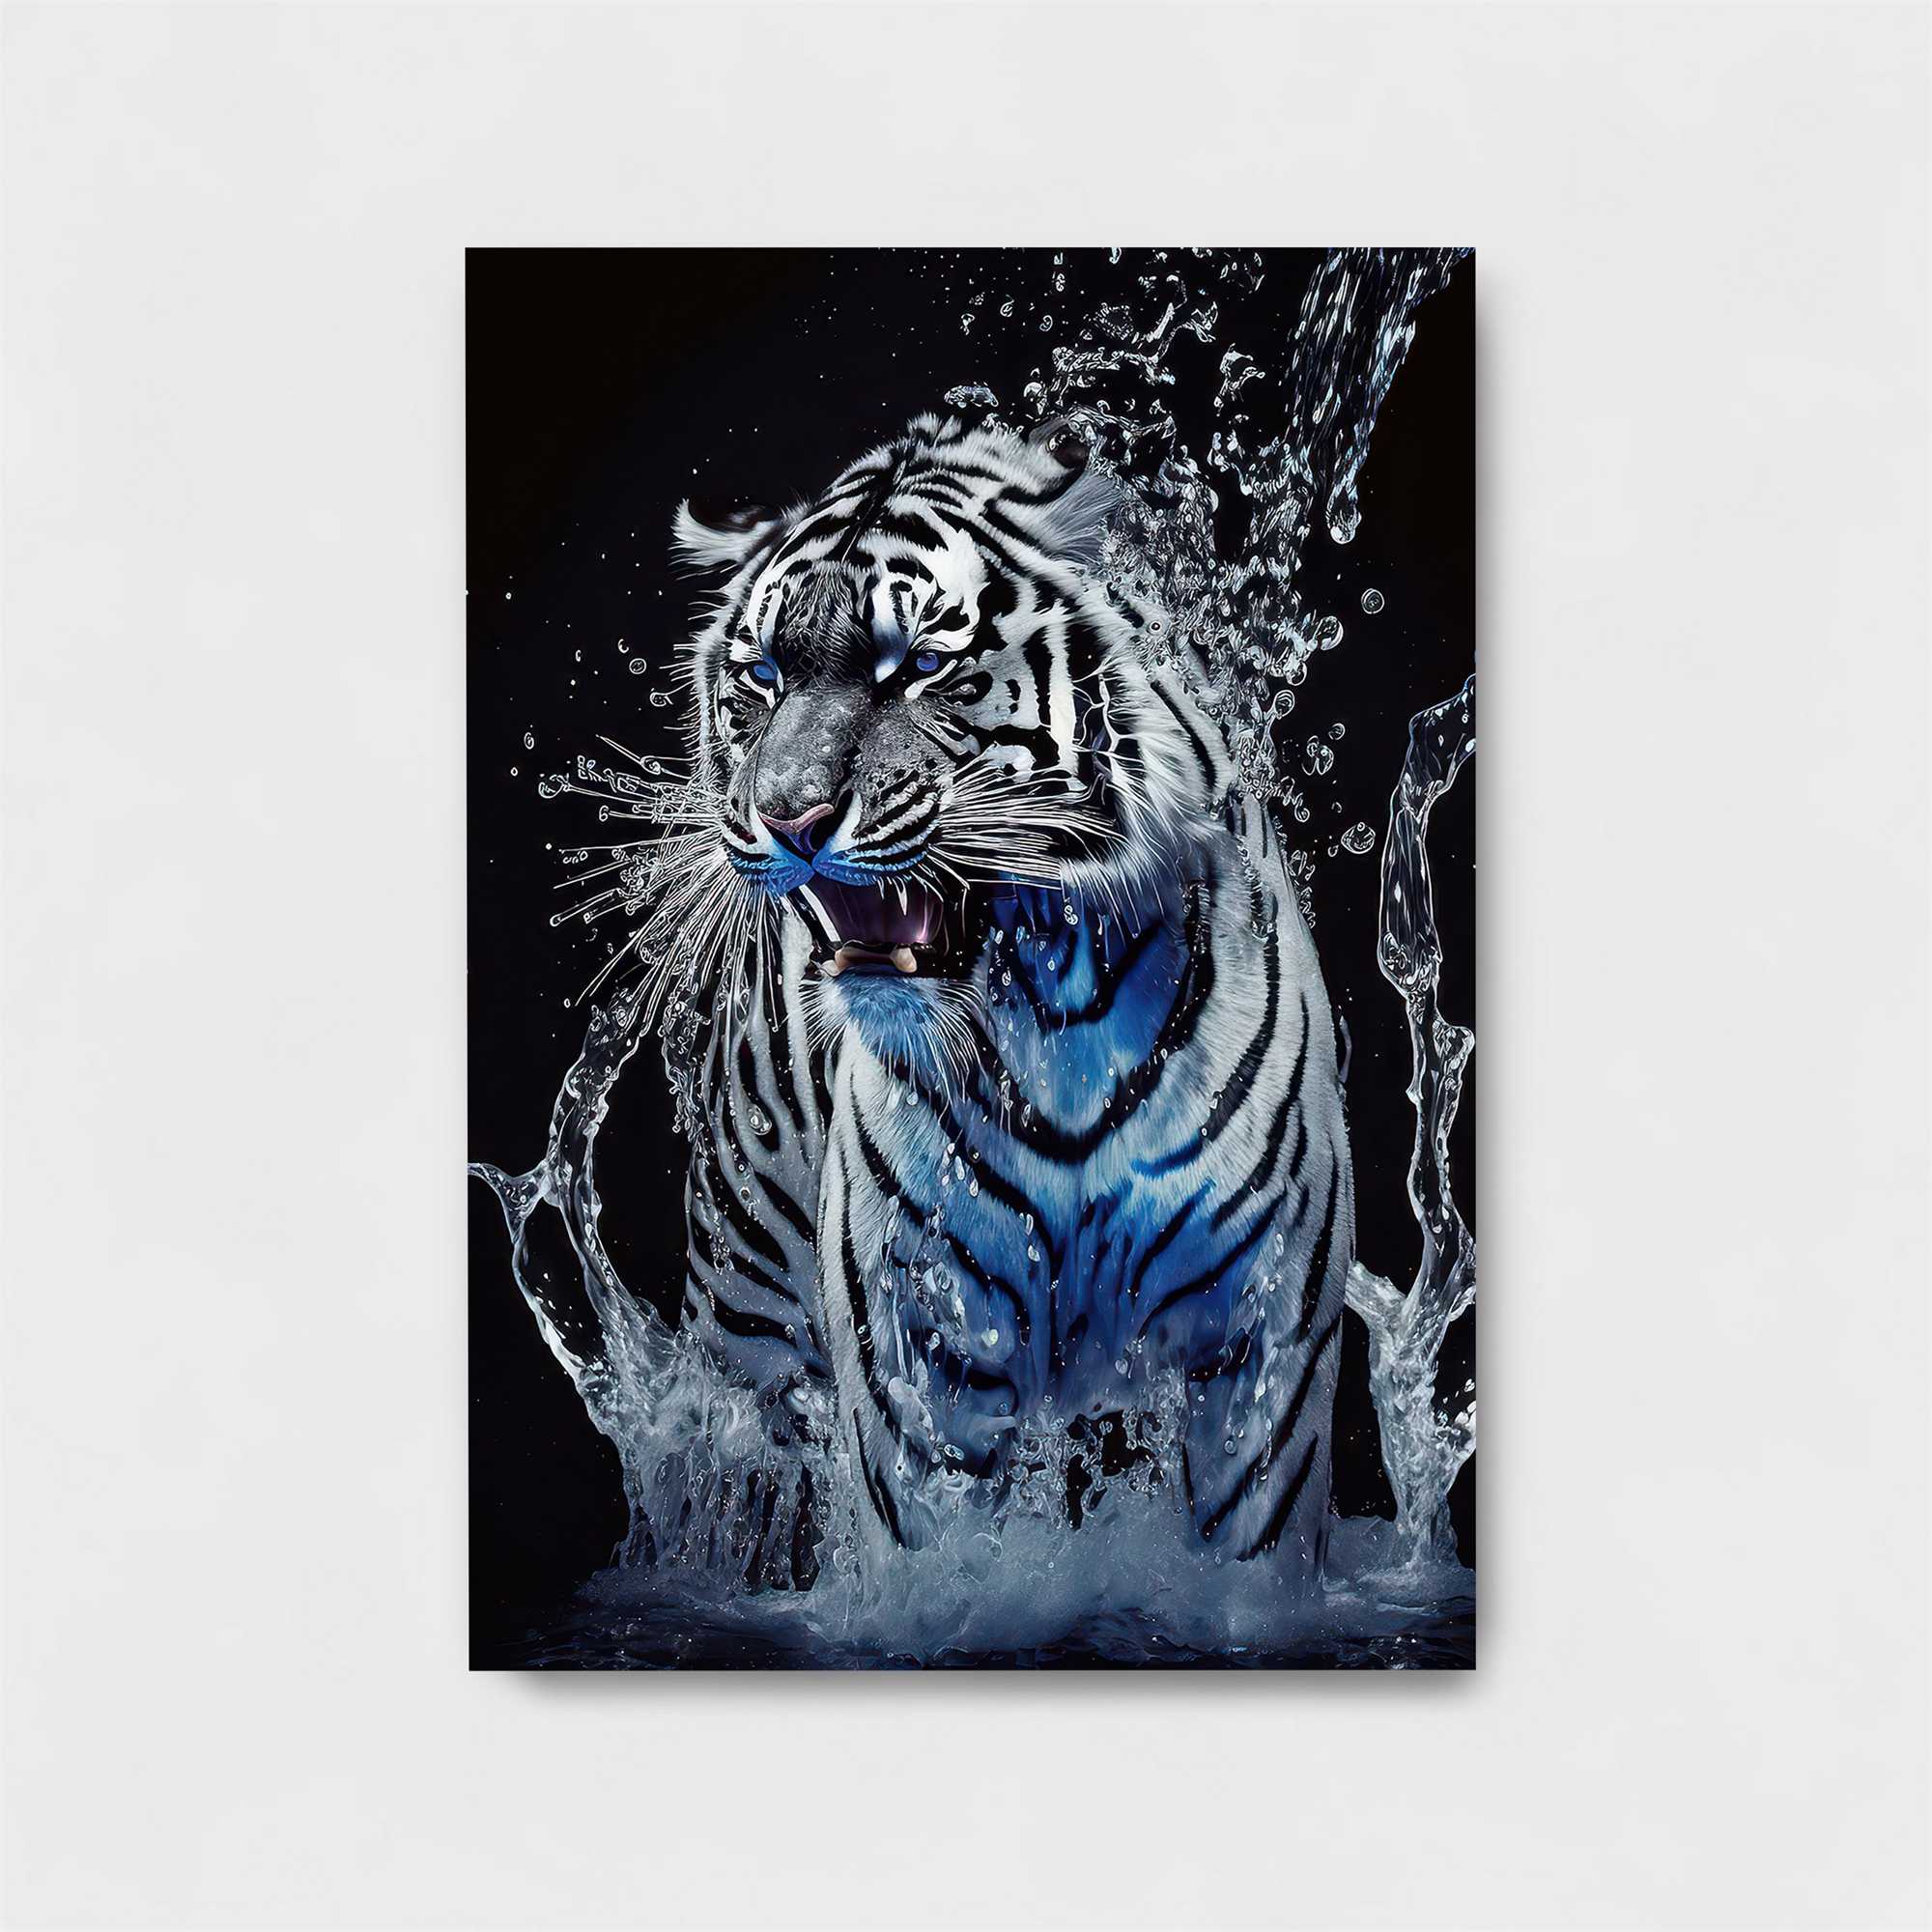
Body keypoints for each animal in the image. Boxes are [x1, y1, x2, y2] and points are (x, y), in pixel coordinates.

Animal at [664, 410, 1354, 1592]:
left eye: (917, 667)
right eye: (760, 673)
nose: (788, 817)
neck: (1053, 1006)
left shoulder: (1267, 1346)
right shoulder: (914, 1358)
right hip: (745, 1321)